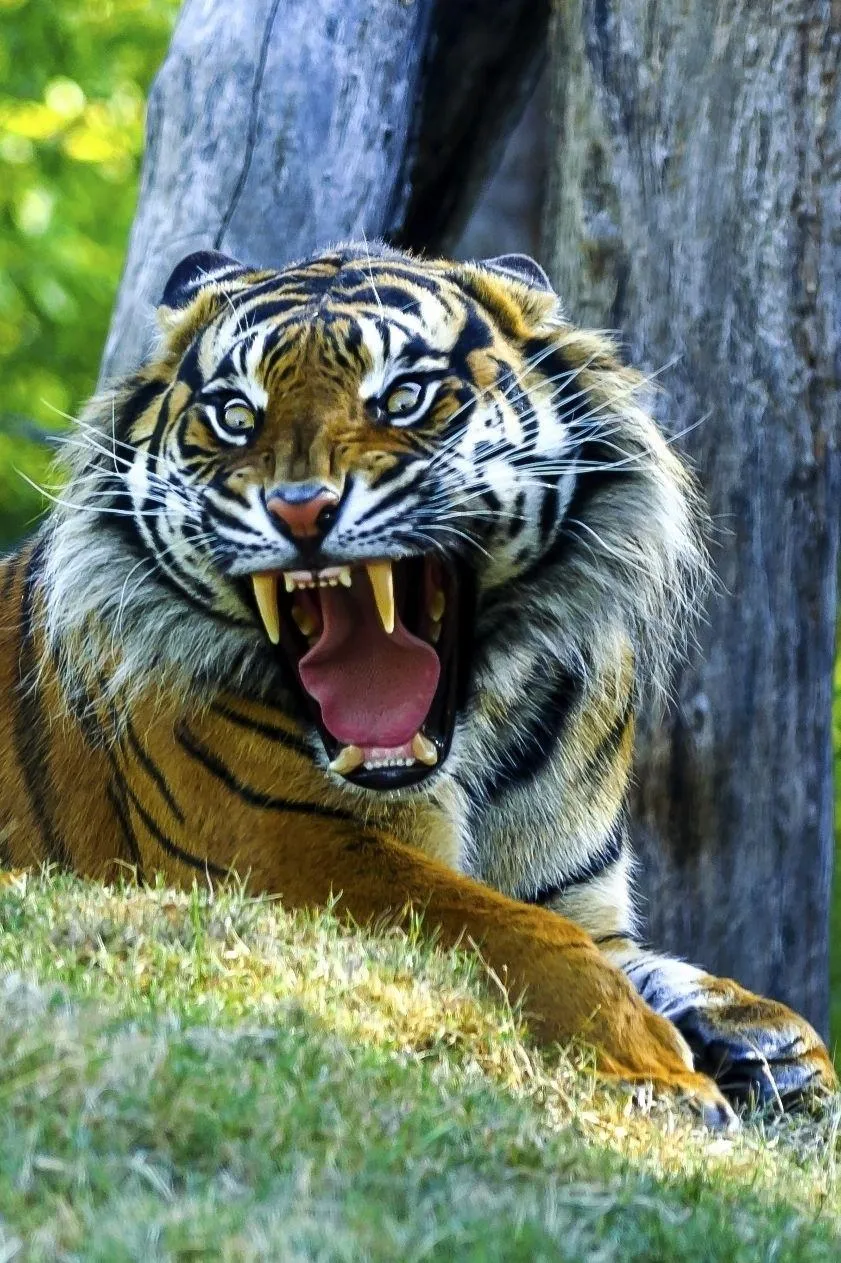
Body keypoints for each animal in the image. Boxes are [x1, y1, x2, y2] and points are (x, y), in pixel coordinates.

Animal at [0, 243, 834, 1128]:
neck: (482, 732)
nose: (300, 510)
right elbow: (501, 926)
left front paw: (768, 1036)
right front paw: (654, 1066)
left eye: (403, 397)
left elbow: (641, 958)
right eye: (235, 415)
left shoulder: (577, 893)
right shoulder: (281, 844)